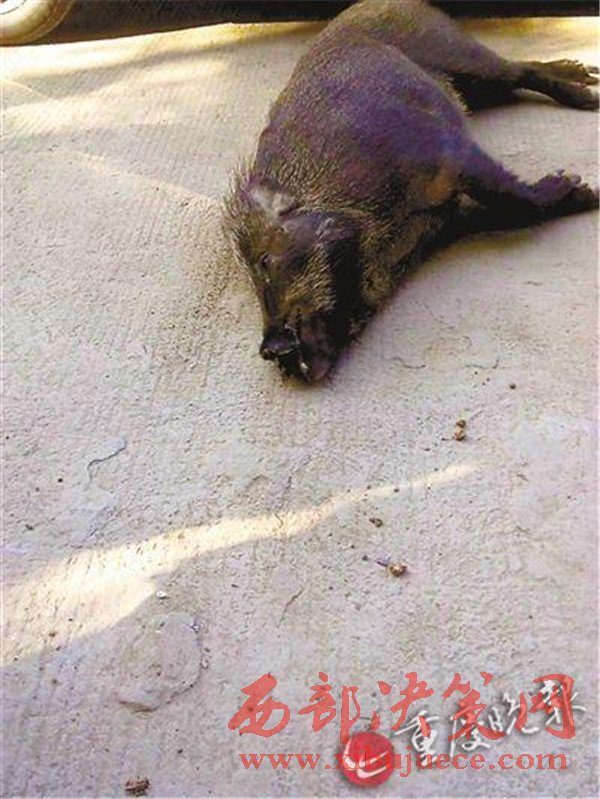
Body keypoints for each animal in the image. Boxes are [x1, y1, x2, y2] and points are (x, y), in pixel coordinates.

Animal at [224, 0, 598, 383]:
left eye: (264, 260)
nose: (270, 350)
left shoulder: (446, 153)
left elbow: (512, 199)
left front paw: (580, 186)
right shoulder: (449, 214)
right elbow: (500, 213)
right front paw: (581, 189)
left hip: (459, 52)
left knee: (519, 70)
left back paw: (587, 96)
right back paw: (584, 76)